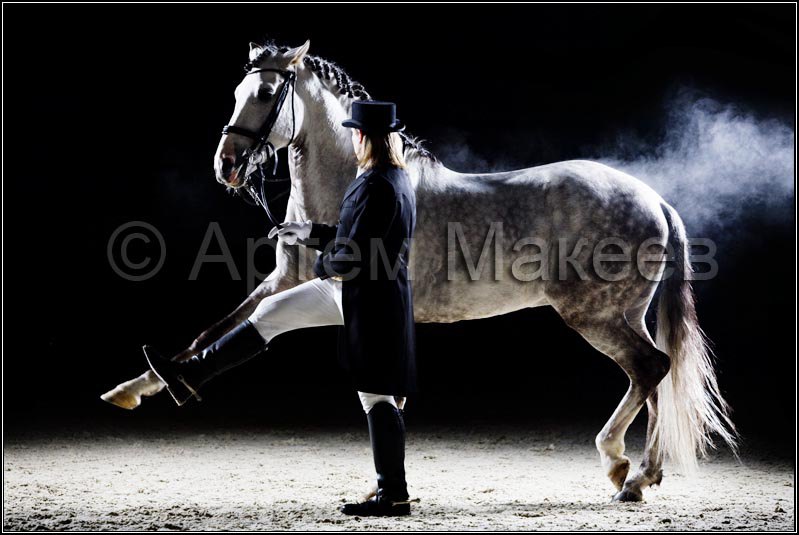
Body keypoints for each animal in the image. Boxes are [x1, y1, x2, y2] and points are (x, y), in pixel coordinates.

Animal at [104, 40, 736, 502]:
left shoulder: (333, 290)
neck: (356, 177)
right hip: (624, 313)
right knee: (653, 375)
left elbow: (255, 326)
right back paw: (643, 474)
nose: (227, 165)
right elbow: (218, 327)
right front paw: (140, 384)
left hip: (594, 315)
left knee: (650, 368)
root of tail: (656, 200)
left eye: (263, 92)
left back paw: (622, 467)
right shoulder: (287, 278)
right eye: (237, 91)